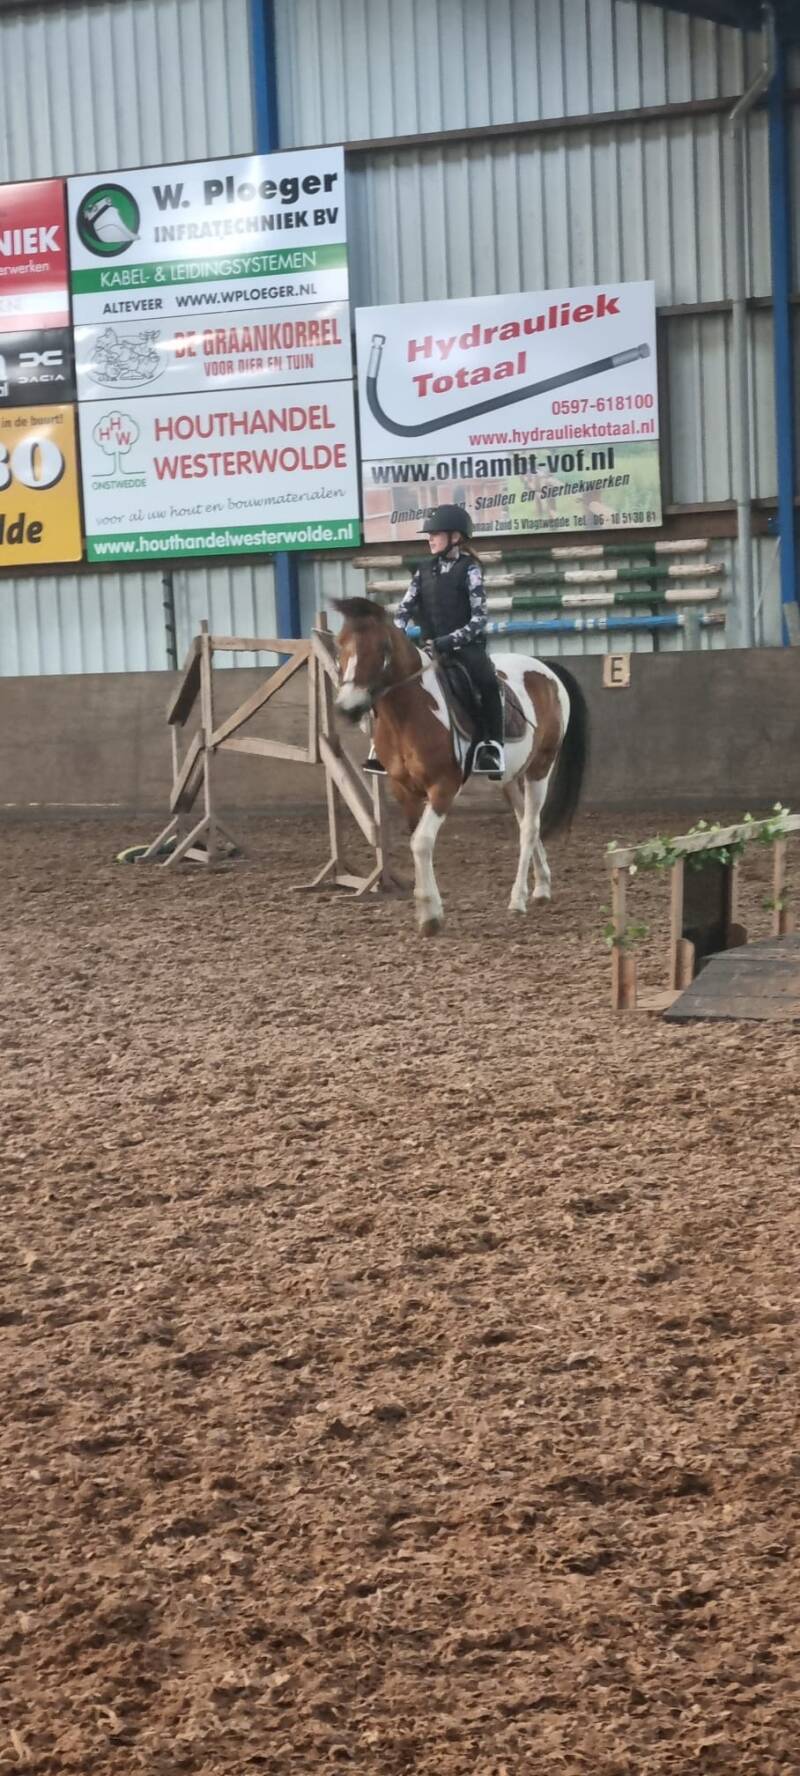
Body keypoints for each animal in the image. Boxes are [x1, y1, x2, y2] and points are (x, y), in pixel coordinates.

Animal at [333, 597, 589, 935]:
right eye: (340, 645)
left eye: (382, 647)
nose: (347, 709)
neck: (408, 712)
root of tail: (546, 669)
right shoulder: (404, 789)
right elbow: (416, 839)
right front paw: (429, 909)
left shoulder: (444, 786)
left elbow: (422, 842)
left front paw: (429, 914)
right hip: (508, 777)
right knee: (525, 821)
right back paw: (542, 887)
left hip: (541, 767)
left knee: (530, 827)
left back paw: (518, 899)